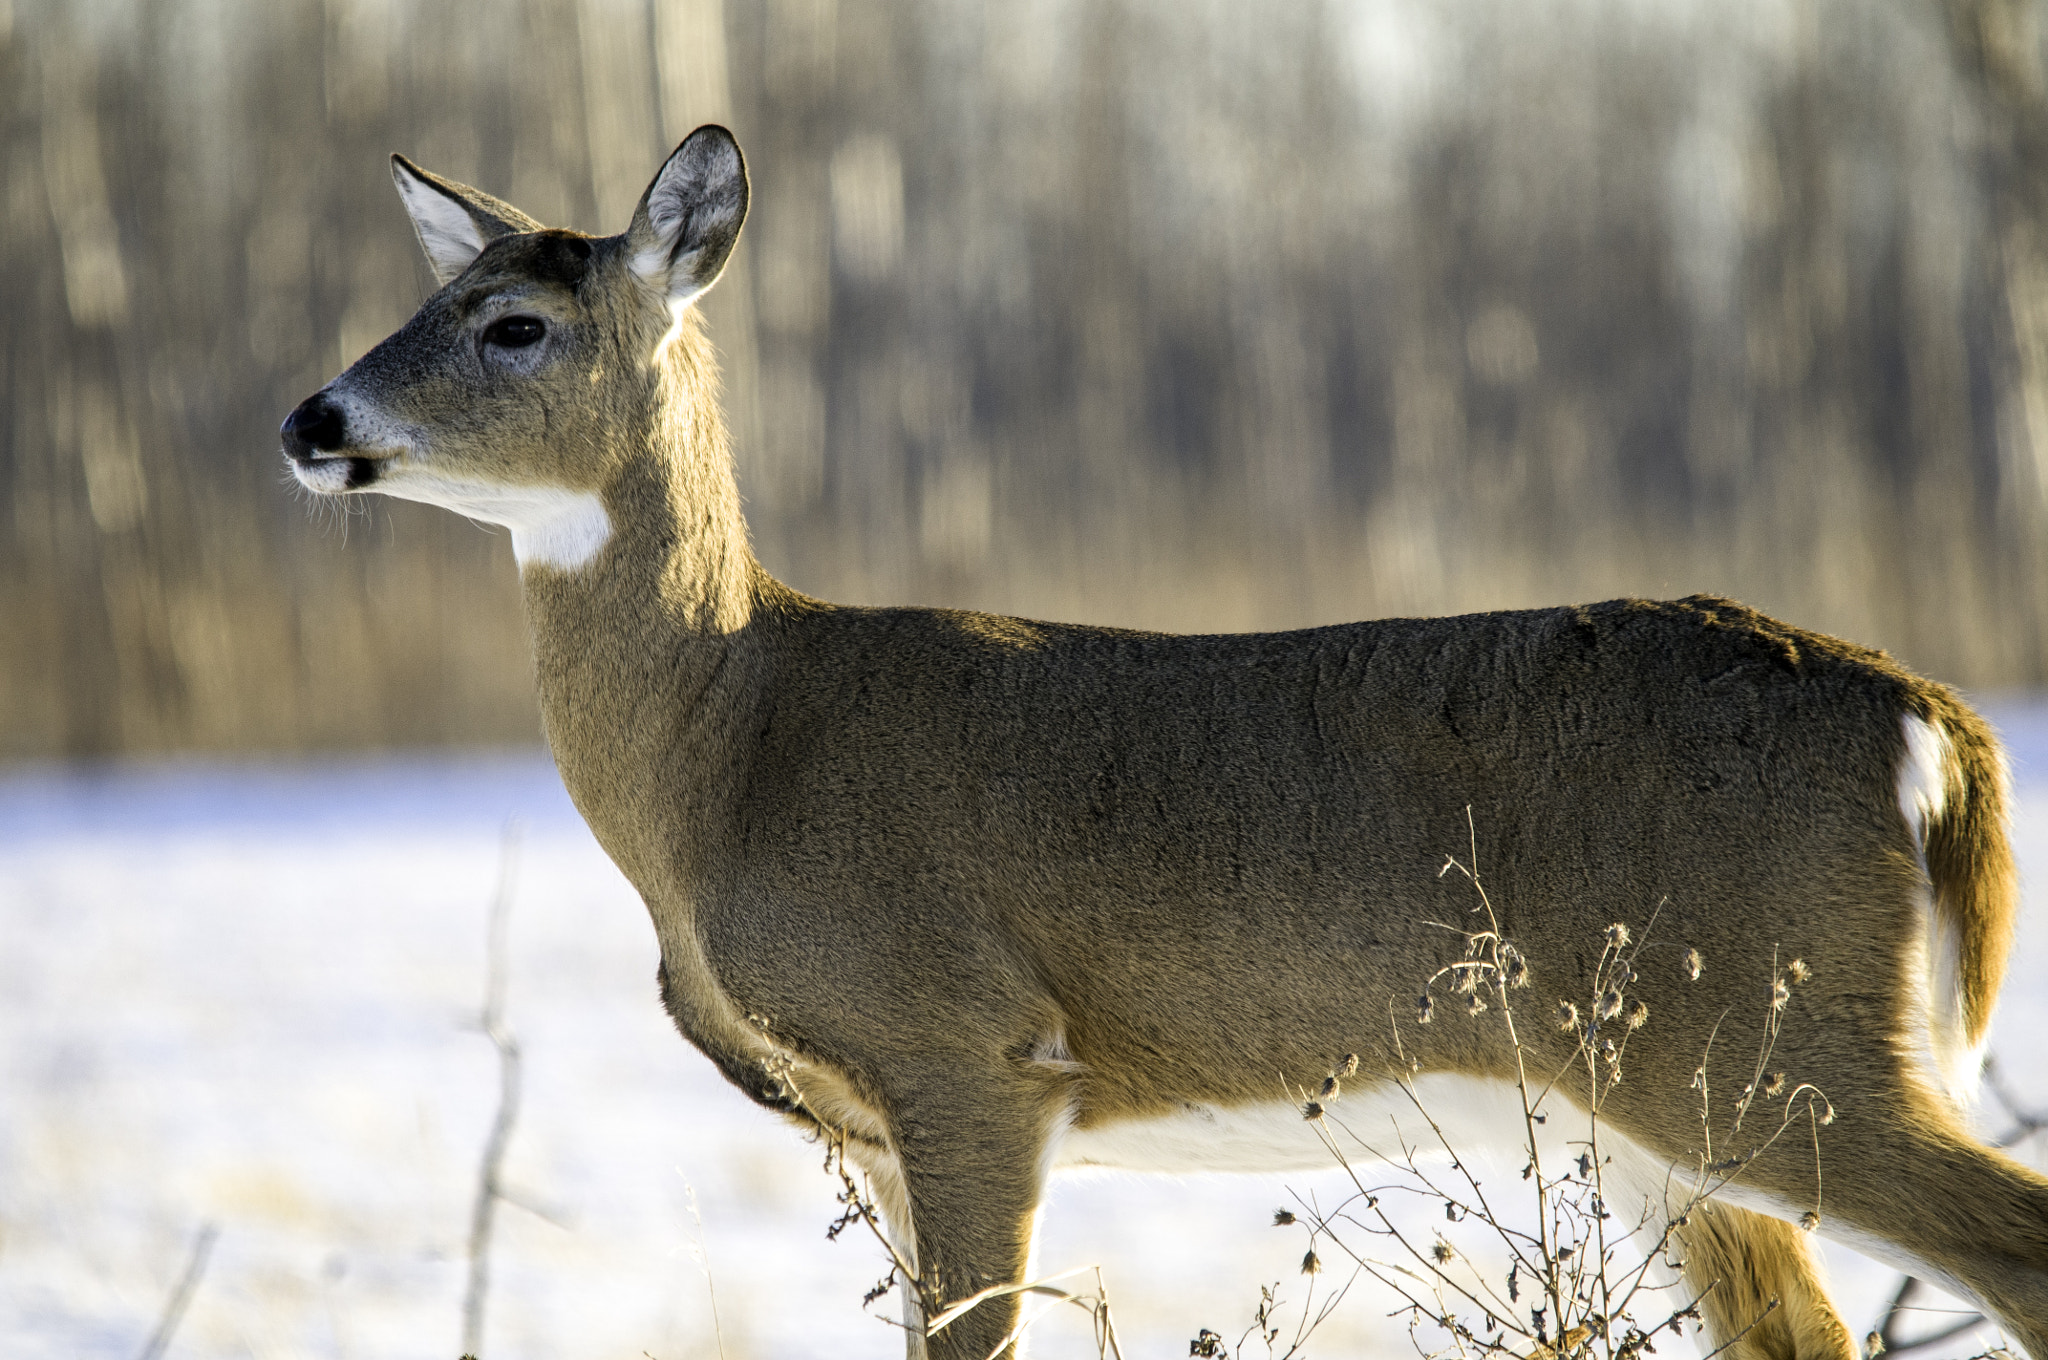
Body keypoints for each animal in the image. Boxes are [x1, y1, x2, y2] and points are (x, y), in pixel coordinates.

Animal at [276, 122, 2048, 1351]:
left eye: (512, 322)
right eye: (430, 294)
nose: (310, 420)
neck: (738, 740)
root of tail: (1929, 717)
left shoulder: (969, 1045)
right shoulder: (882, 1124)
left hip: (1765, 1037)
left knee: (2012, 1244)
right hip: (1671, 1106)